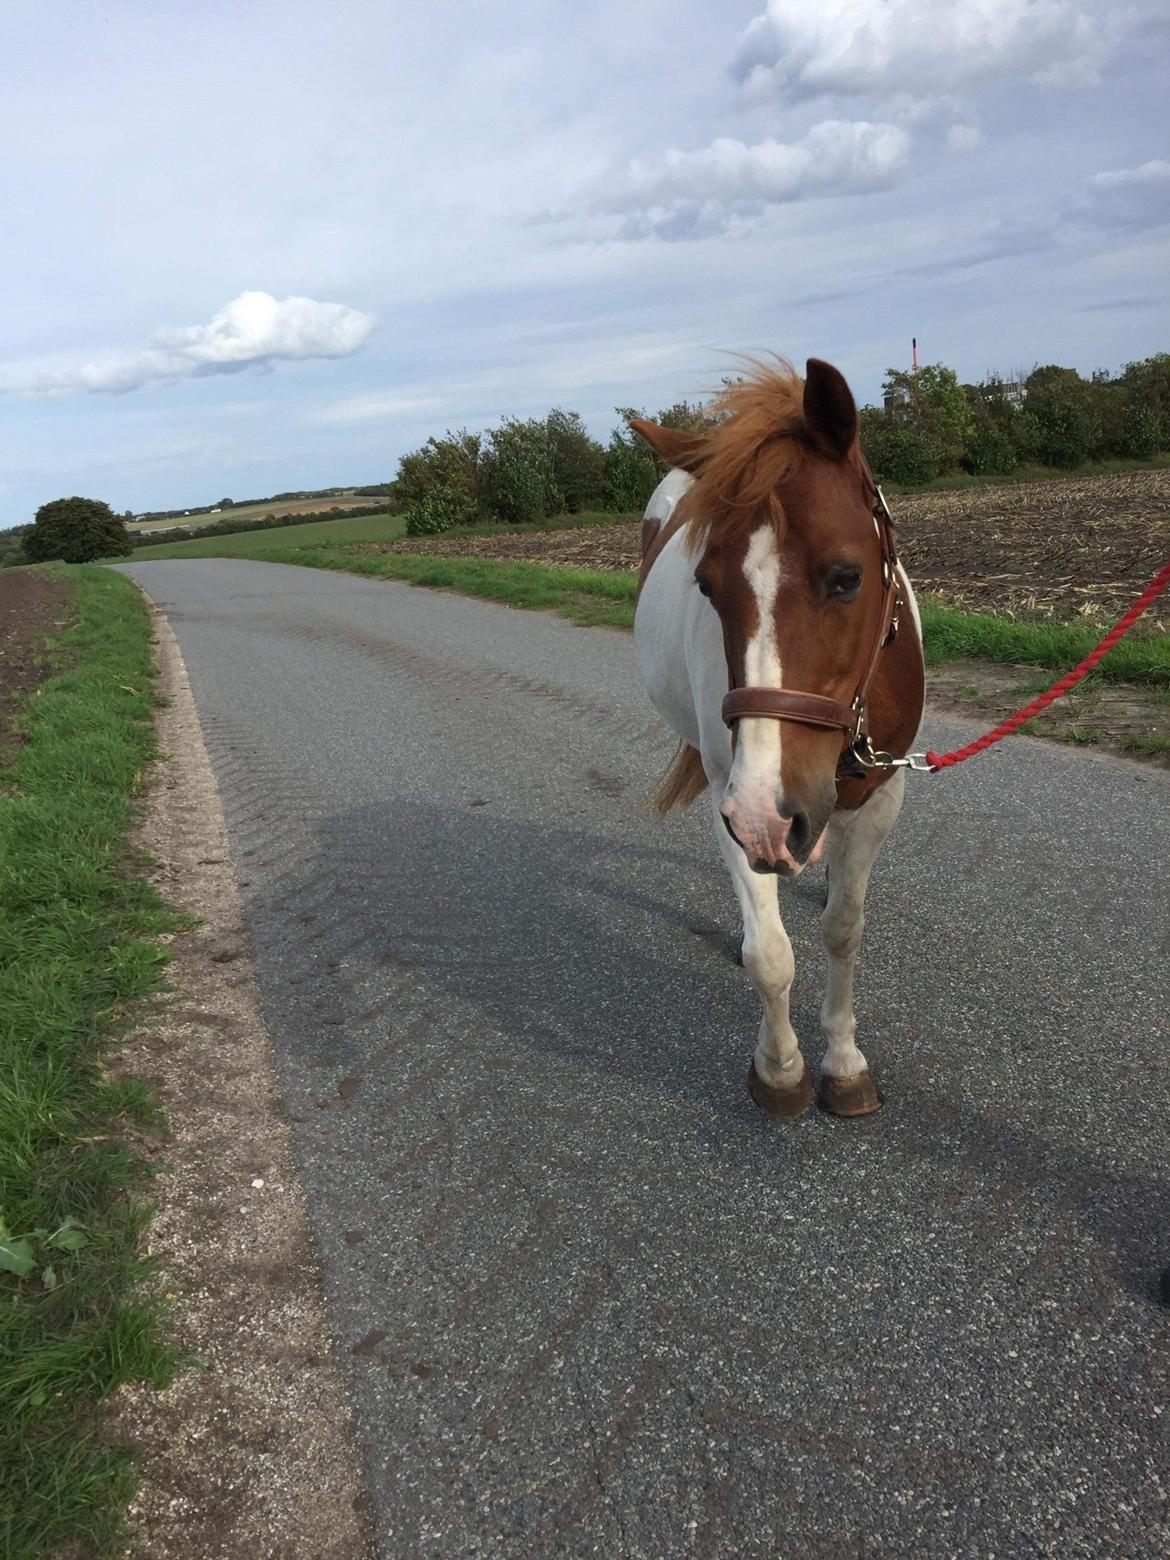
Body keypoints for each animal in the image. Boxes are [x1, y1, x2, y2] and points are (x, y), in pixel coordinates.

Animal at [636, 357, 929, 1123]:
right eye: (706, 586)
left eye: (847, 576)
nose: (771, 814)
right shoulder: (734, 803)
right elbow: (772, 953)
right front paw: (780, 1069)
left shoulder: (880, 793)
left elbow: (843, 930)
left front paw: (845, 1063)